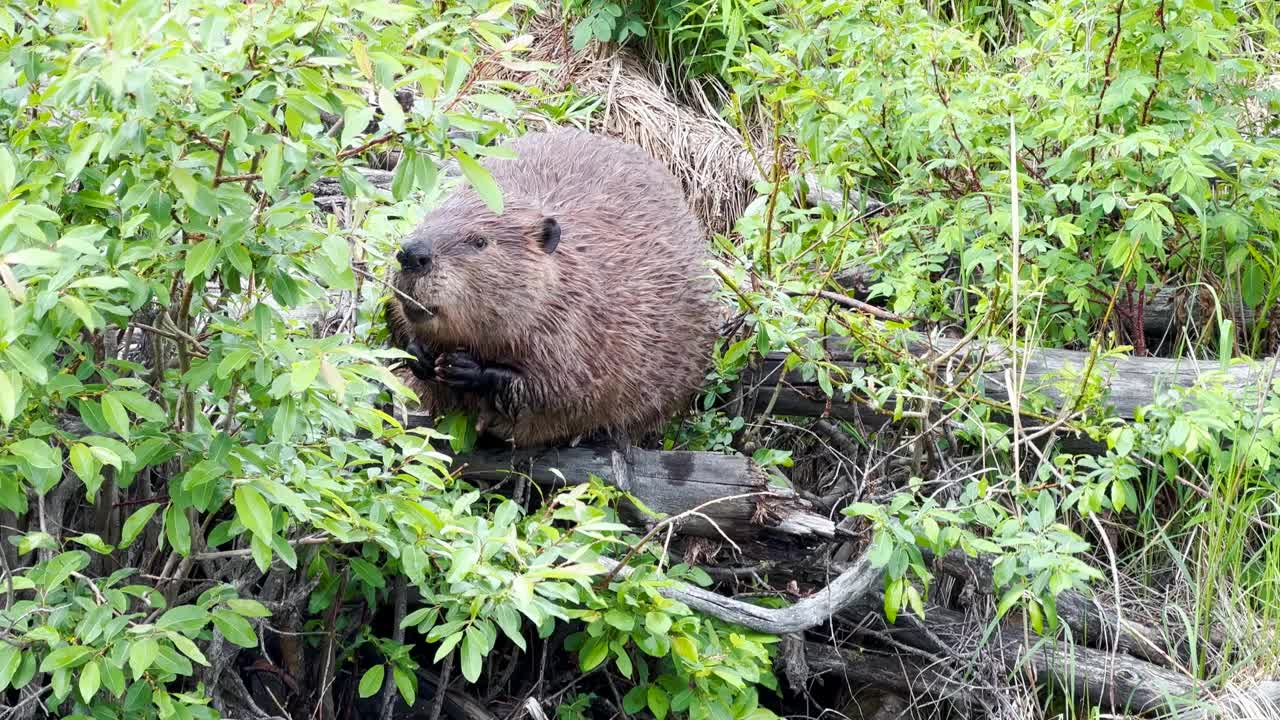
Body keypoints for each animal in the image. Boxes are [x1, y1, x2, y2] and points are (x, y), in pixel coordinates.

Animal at [384, 126, 716, 445]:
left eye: (479, 241)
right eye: (426, 219)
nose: (412, 254)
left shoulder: (587, 323)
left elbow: (563, 390)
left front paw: (464, 368)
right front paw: (422, 355)